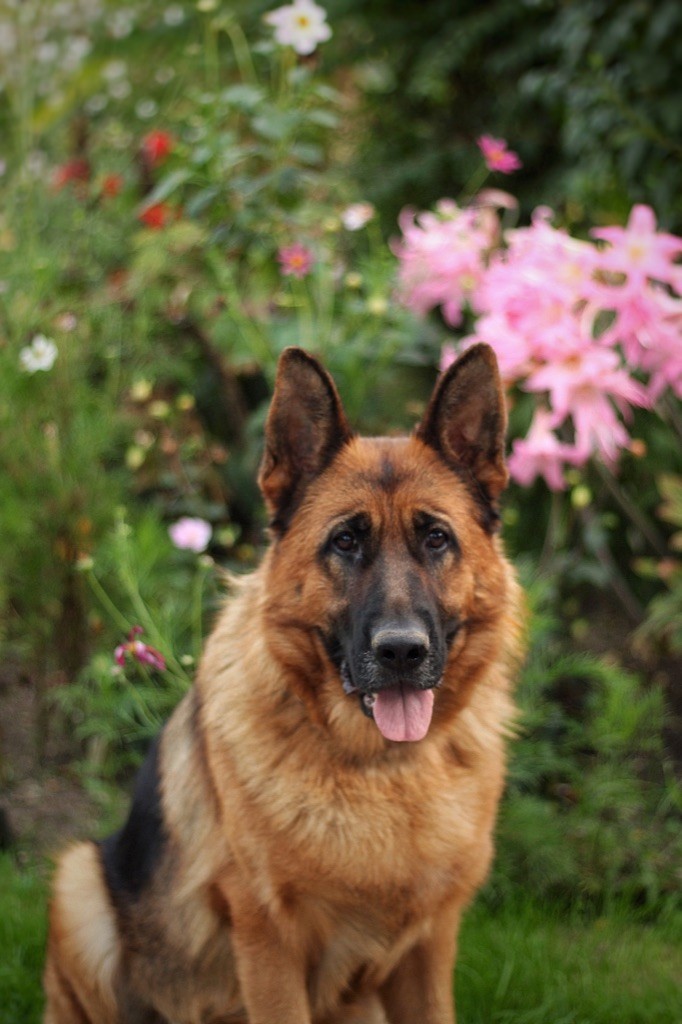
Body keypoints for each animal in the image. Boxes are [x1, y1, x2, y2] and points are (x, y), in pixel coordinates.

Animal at [43, 346, 520, 1024]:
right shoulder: (268, 943)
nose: (402, 651)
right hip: (80, 882)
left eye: (436, 538)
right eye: (345, 541)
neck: (382, 771)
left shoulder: (429, 945)